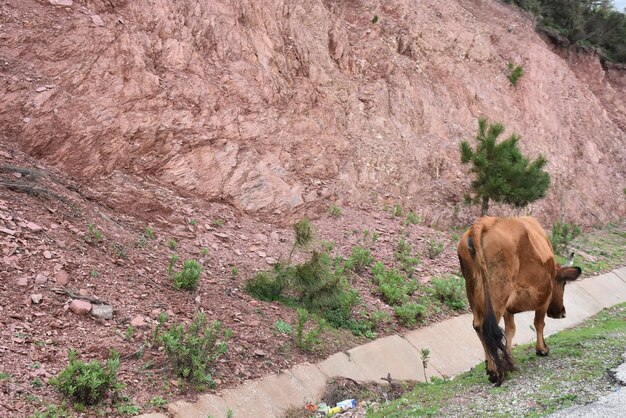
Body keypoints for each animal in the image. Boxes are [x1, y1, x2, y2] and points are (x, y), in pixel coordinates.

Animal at [454, 219, 580, 386]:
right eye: (564, 283)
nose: (562, 312)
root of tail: (485, 222)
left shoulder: (509, 308)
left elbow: (510, 330)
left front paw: (509, 357)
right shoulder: (544, 298)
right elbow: (539, 323)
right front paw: (542, 349)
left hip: (473, 291)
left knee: (478, 326)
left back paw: (492, 366)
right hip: (498, 292)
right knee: (486, 328)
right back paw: (496, 372)